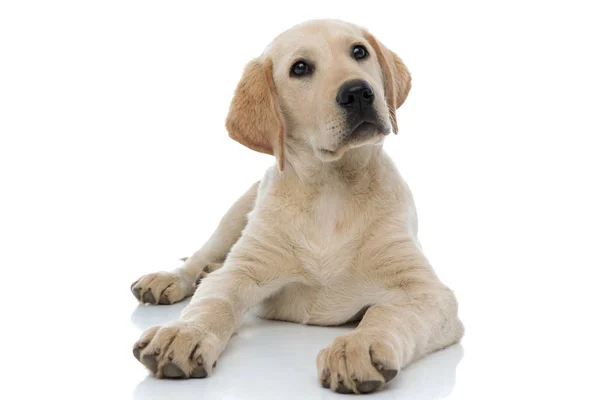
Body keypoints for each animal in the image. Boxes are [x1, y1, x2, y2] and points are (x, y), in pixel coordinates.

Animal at [130, 19, 464, 394]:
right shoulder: (240, 271)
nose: (358, 92)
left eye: (359, 51)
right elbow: (213, 302)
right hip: (237, 213)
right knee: (202, 258)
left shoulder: (426, 290)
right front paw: (183, 333)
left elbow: (387, 313)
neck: (331, 190)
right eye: (300, 68)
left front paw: (357, 345)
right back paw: (170, 278)